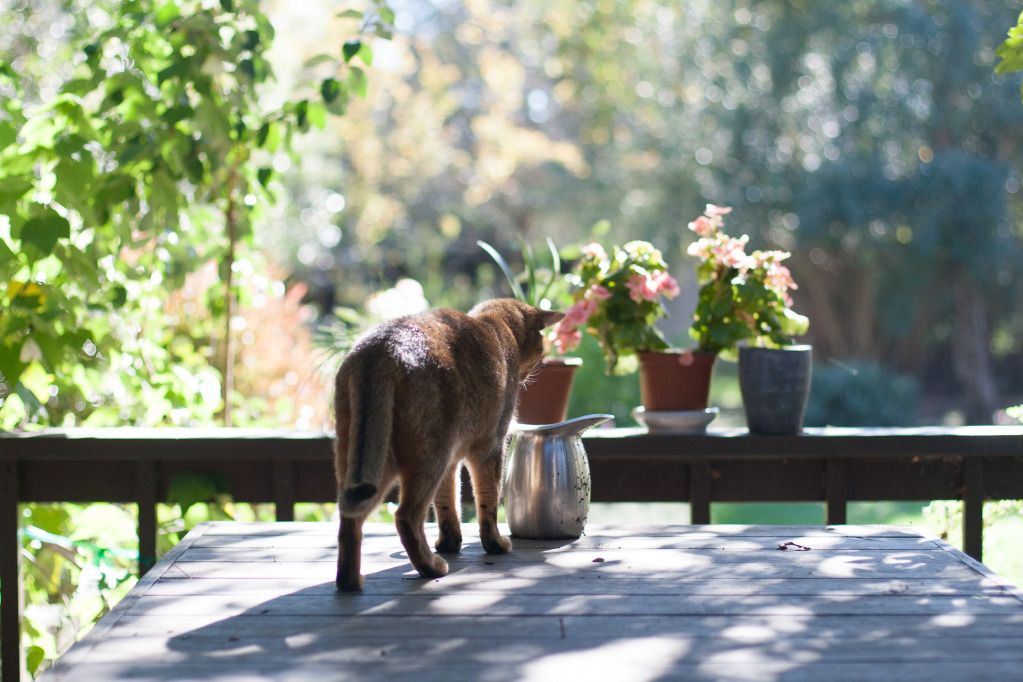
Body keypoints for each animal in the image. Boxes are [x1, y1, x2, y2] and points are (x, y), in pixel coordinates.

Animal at [333, 298, 564, 593]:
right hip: (428, 455)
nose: (531, 373)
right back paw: (431, 567)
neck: (495, 325)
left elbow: (447, 502)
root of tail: (381, 350)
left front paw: (449, 543)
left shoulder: (453, 461)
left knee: (349, 520)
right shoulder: (491, 445)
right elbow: (488, 499)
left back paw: (350, 581)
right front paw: (495, 544)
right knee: (406, 516)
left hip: (366, 459)